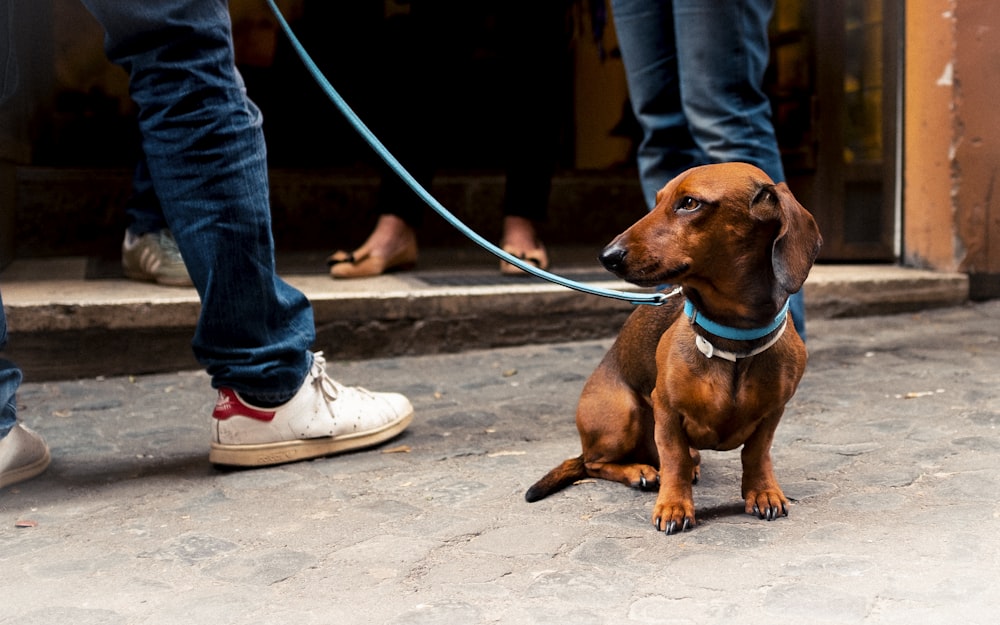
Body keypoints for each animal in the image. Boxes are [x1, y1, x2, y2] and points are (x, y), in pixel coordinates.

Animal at [524, 163, 820, 532]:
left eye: (689, 203)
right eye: (657, 201)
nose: (607, 257)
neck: (734, 339)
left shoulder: (773, 412)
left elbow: (756, 453)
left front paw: (763, 491)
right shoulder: (666, 411)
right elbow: (674, 459)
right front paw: (674, 506)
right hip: (624, 414)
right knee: (594, 464)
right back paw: (640, 472)